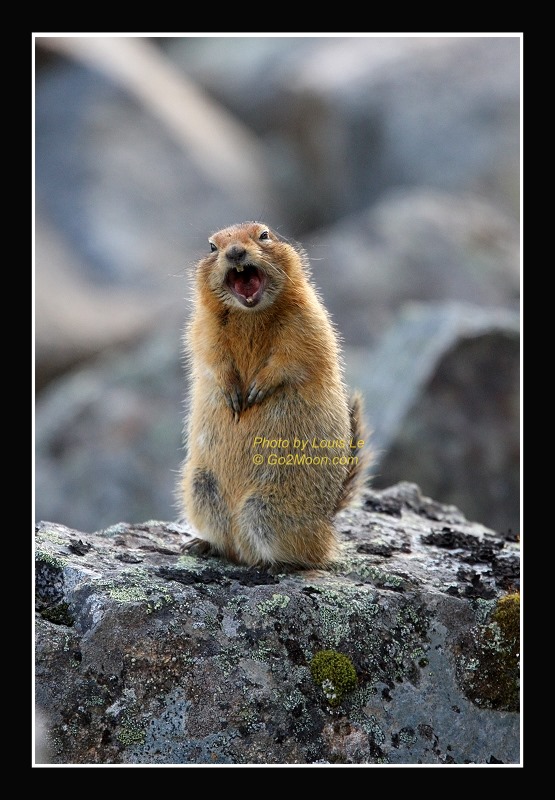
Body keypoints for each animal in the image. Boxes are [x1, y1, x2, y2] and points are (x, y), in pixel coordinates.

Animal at [178, 221, 371, 570]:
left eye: (264, 234)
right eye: (212, 246)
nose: (235, 252)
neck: (249, 314)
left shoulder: (308, 322)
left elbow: (293, 357)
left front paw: (257, 389)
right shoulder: (202, 328)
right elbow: (211, 356)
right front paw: (232, 394)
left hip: (267, 507)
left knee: (310, 554)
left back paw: (274, 563)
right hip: (200, 489)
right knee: (226, 542)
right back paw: (201, 544)